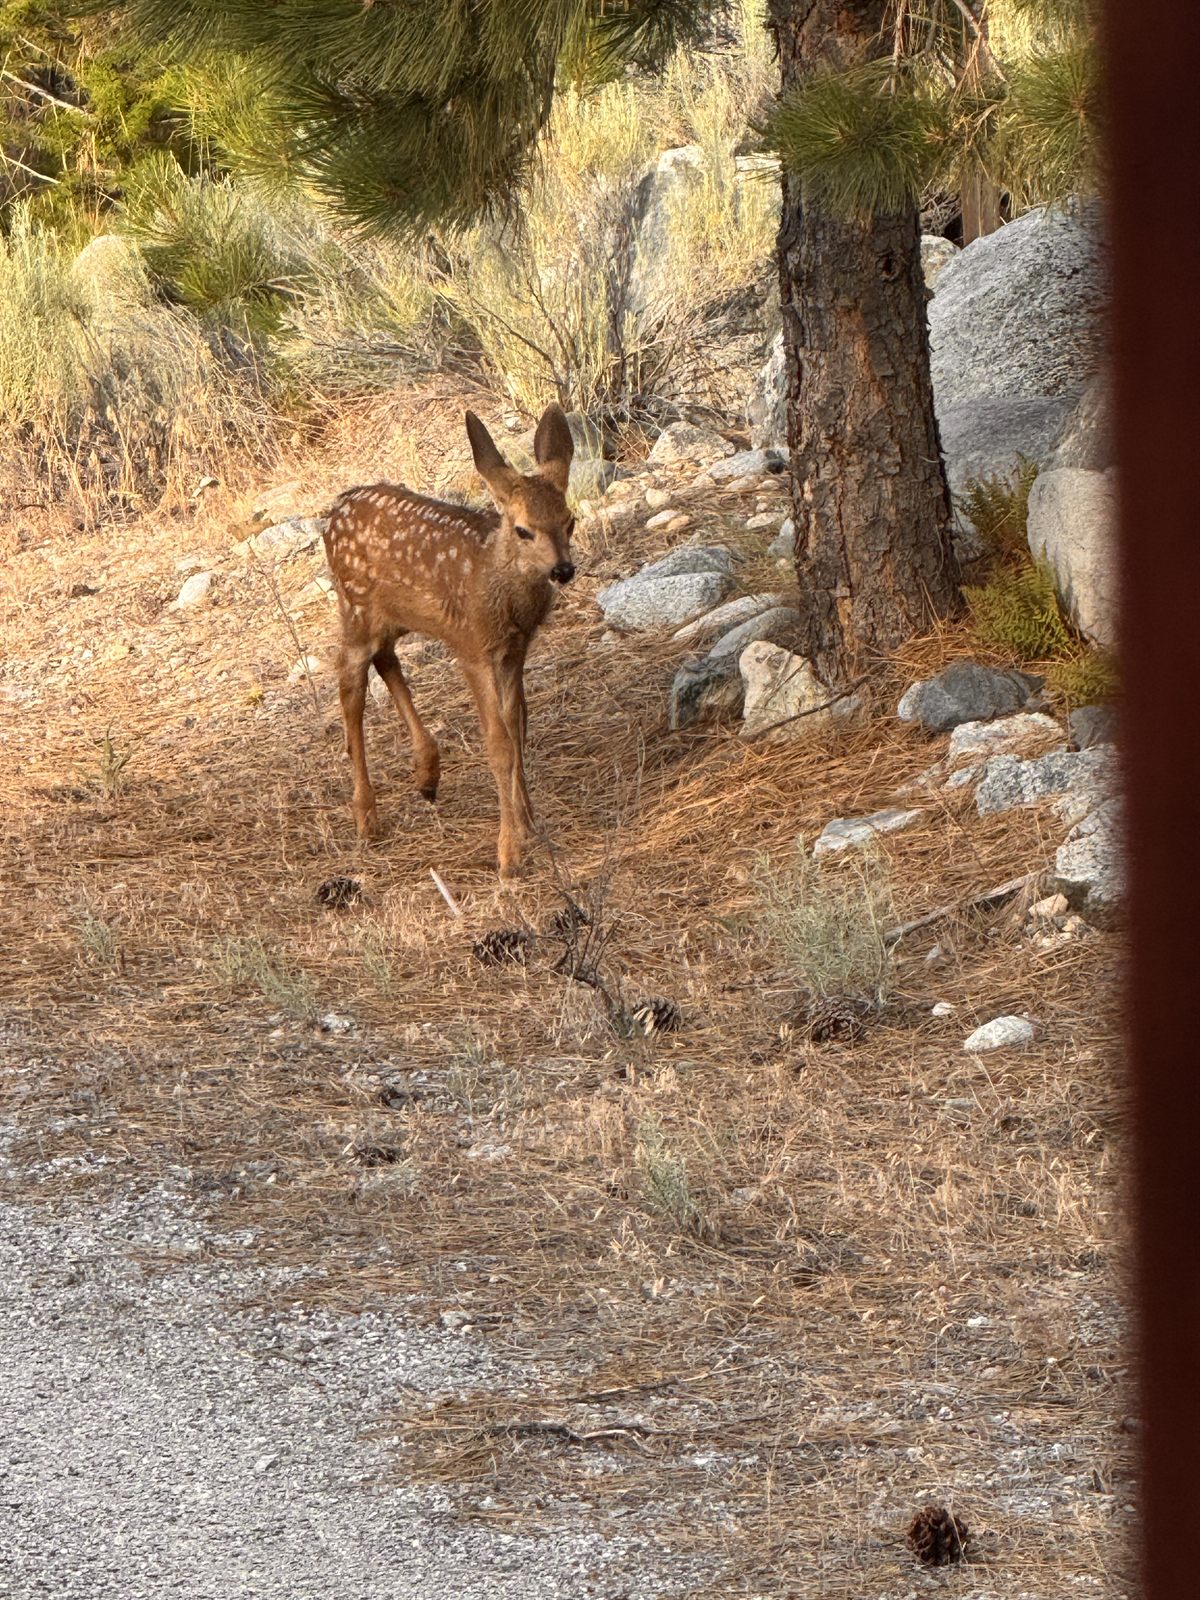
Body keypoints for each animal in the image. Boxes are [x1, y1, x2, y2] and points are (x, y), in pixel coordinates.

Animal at [322, 404, 576, 878]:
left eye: (569, 521)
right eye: (523, 530)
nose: (563, 570)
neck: (497, 585)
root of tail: (333, 511)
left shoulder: (514, 651)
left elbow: (518, 727)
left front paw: (530, 823)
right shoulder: (472, 647)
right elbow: (498, 742)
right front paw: (508, 855)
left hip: (391, 617)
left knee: (386, 660)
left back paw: (427, 773)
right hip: (354, 608)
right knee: (350, 686)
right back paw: (367, 818)